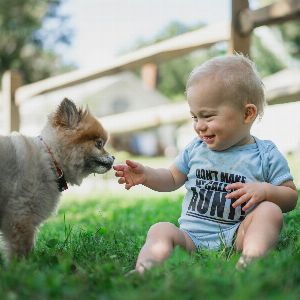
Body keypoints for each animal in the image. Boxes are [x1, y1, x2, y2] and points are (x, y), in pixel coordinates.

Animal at [0, 98, 115, 260]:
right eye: (99, 144)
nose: (114, 157)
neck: (51, 160)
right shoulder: (21, 216)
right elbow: (22, 249)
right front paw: (25, 265)